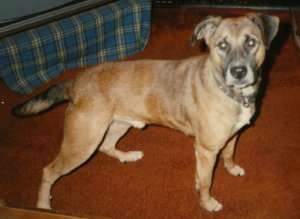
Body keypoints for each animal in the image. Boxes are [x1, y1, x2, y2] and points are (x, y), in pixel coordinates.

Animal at [11, 13, 278, 212]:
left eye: (251, 42)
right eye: (221, 45)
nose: (239, 72)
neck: (228, 90)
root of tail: (76, 81)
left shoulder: (231, 136)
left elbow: (229, 155)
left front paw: (231, 169)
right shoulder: (206, 149)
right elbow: (206, 182)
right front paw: (207, 203)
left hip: (118, 125)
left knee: (106, 146)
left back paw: (127, 156)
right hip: (82, 142)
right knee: (49, 171)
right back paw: (43, 205)